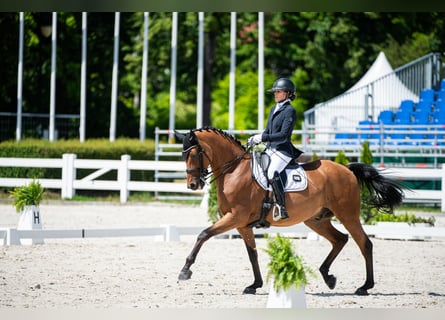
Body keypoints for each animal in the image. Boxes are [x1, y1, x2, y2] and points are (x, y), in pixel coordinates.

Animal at [173, 126, 402, 296]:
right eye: (183, 155)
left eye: (195, 153)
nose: (192, 185)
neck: (234, 171)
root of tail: (346, 169)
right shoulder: (242, 224)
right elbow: (252, 254)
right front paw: (254, 285)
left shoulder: (235, 217)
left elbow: (203, 234)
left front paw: (185, 271)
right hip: (316, 220)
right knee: (340, 239)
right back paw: (328, 276)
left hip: (348, 215)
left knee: (364, 244)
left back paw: (364, 286)